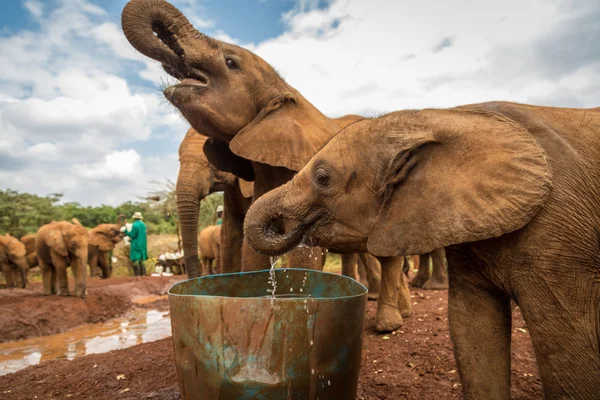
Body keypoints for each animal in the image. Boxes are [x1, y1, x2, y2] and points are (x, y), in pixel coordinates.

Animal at [243, 101, 600, 398]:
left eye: (322, 178)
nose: (289, 227)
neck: (439, 117)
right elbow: (471, 328)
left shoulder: (558, 232)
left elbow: (566, 347)